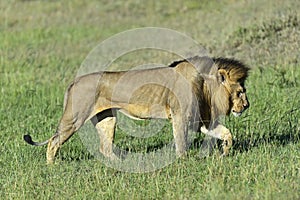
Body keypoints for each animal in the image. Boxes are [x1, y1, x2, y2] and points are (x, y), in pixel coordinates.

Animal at [23, 55, 250, 164]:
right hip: (75, 117)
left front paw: (224, 154)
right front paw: (184, 163)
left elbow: (227, 134)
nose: (246, 106)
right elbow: (181, 143)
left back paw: (123, 164)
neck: (206, 86)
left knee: (105, 148)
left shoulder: (200, 120)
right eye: (240, 92)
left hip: (106, 119)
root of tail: (75, 80)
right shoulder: (180, 116)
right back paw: (52, 166)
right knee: (53, 141)